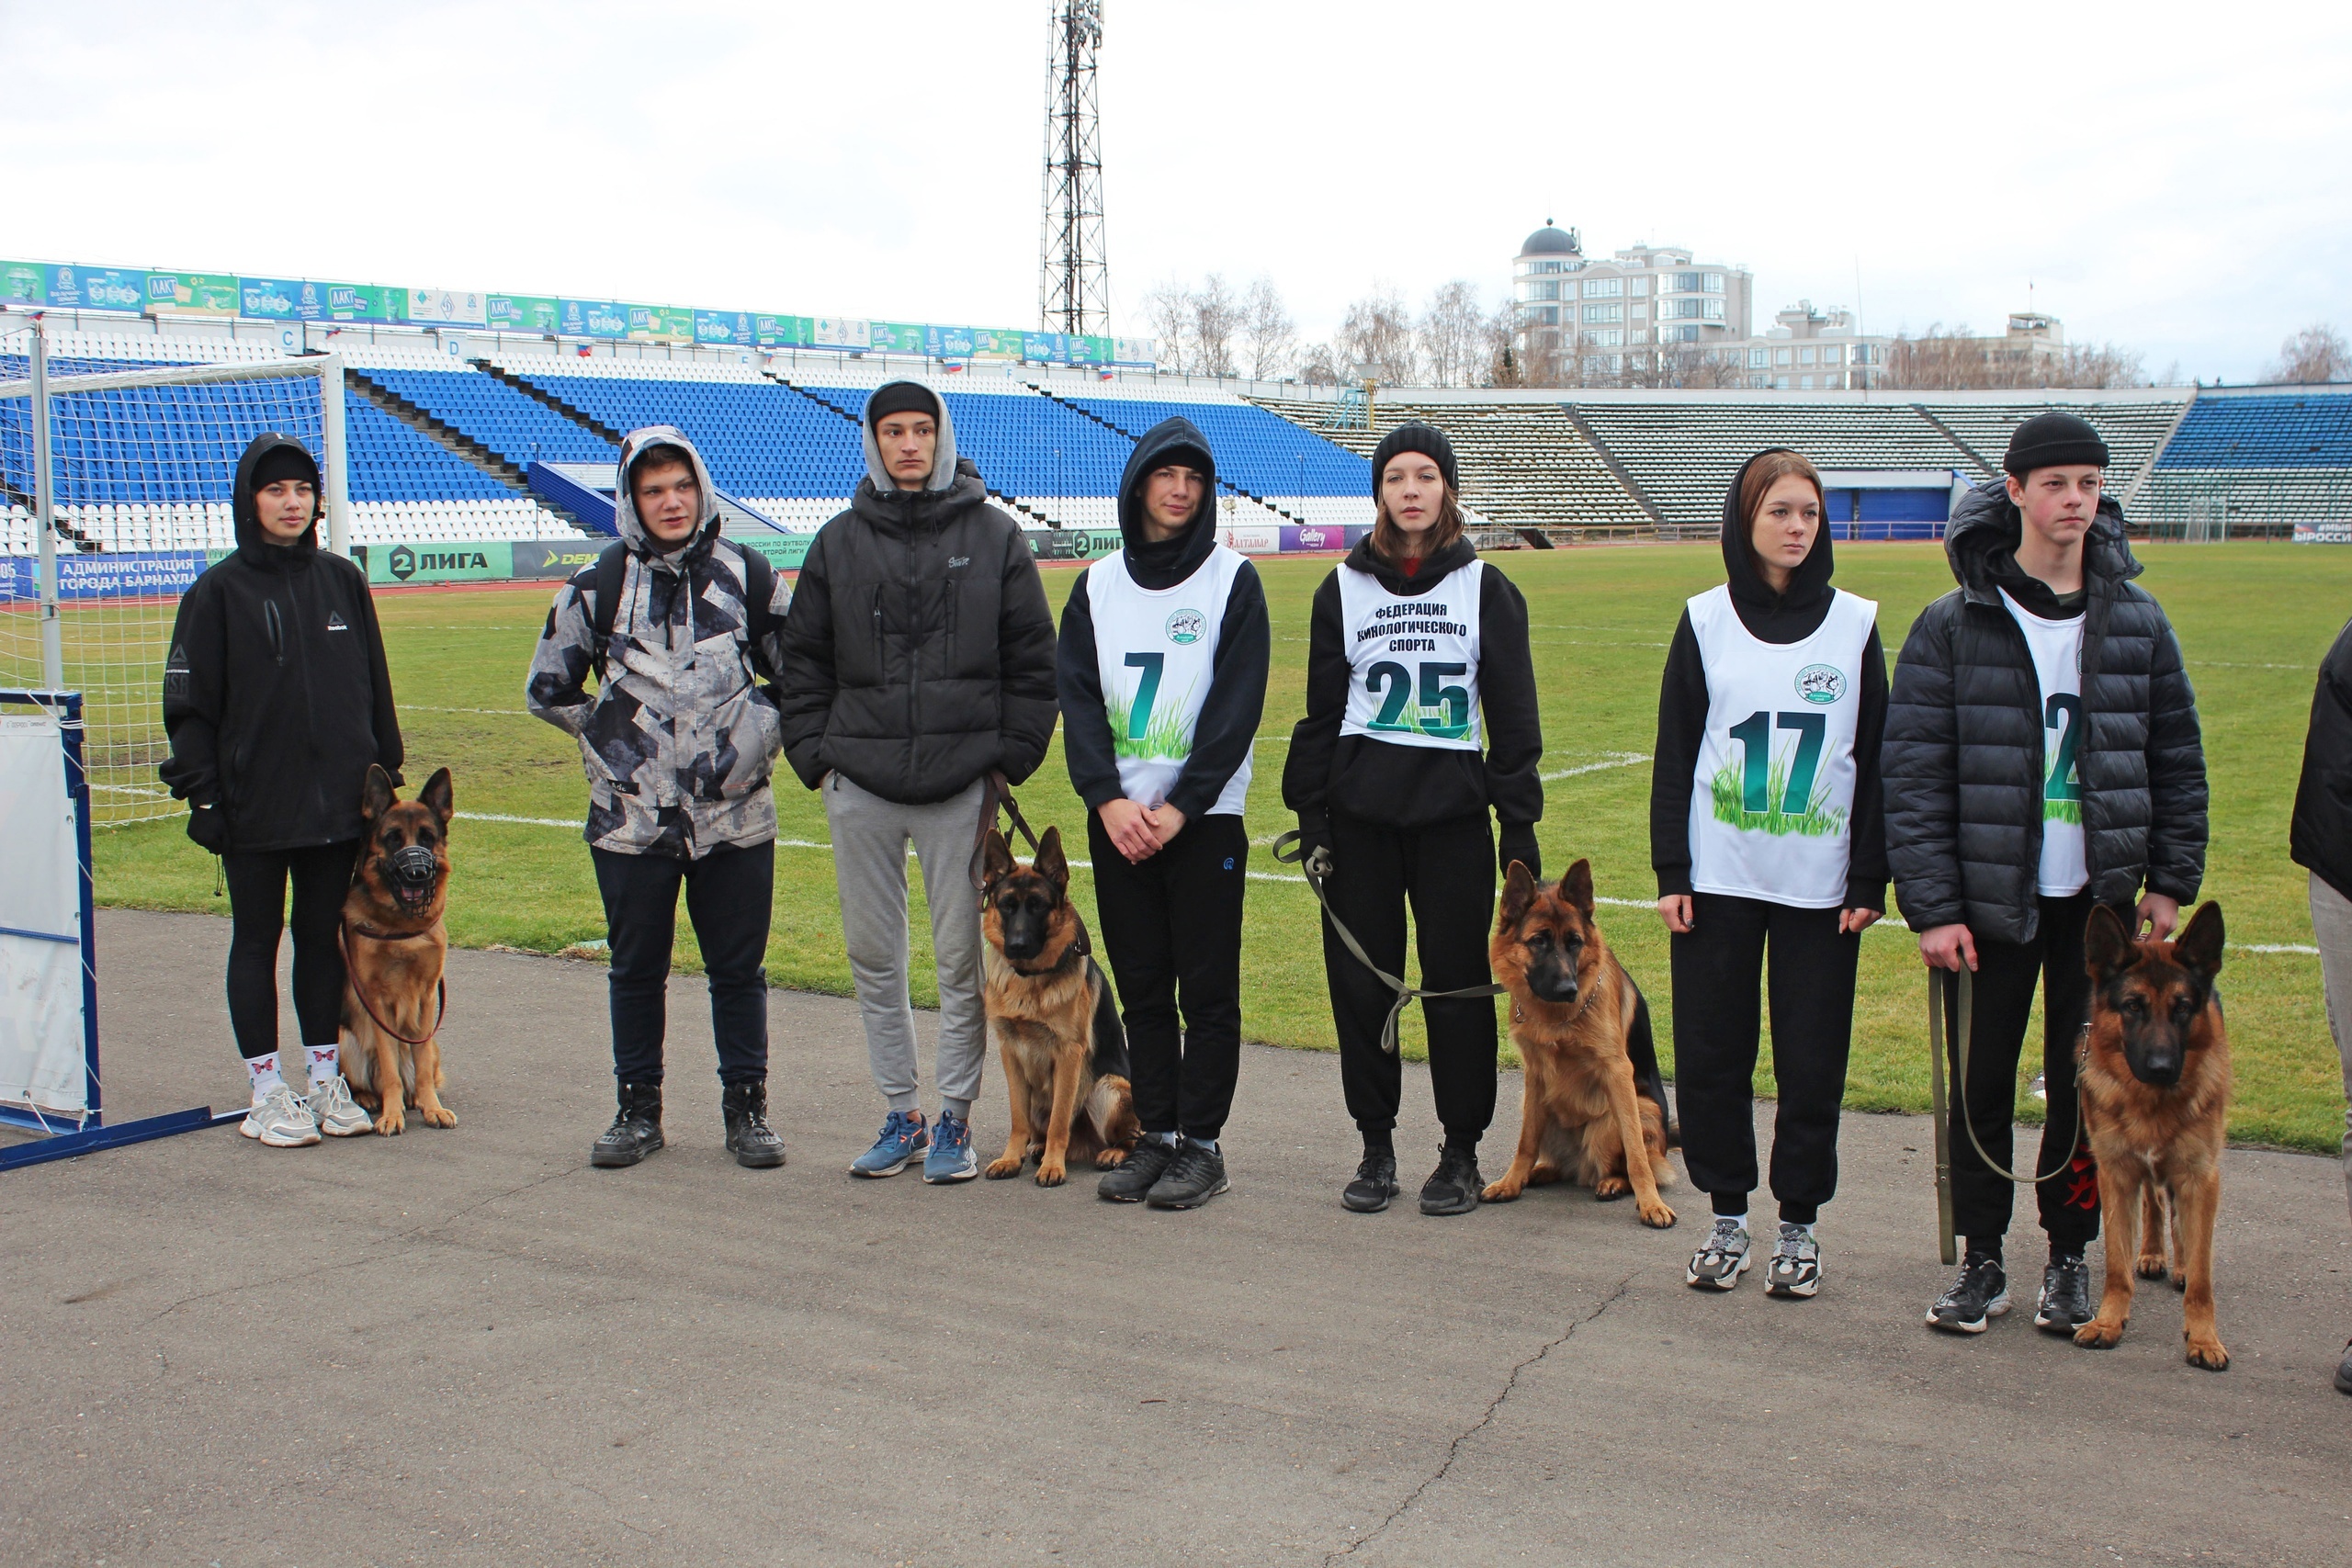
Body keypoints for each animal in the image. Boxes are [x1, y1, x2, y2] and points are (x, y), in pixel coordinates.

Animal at [341, 766, 454, 1133]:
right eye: (393, 838)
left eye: (427, 837)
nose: (417, 874)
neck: (402, 929)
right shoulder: (376, 1002)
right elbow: (389, 1064)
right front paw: (392, 1115)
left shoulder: (427, 998)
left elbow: (421, 1066)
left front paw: (432, 1107)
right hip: (346, 1041)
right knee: (364, 1080)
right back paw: (369, 1098)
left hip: (433, 1044)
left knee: (419, 1072)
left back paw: (416, 1097)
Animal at [973, 827, 1138, 1184]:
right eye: (1007, 906)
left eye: (1038, 906)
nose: (1018, 945)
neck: (1030, 981)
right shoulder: (1009, 1051)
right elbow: (1018, 1118)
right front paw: (1011, 1158)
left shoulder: (1068, 1055)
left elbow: (1060, 1121)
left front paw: (1052, 1166)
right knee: (1036, 1127)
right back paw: (1034, 1148)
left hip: (1107, 1088)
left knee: (1134, 1137)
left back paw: (1112, 1153)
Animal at [1486, 851, 1674, 1232]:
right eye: (1538, 941)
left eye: (1575, 942)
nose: (1568, 990)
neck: (1557, 1020)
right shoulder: (1534, 1074)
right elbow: (1526, 1142)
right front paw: (1512, 1181)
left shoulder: (1617, 1072)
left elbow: (1635, 1154)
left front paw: (1650, 1203)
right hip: (1537, 1103)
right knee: (1559, 1161)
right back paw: (1539, 1172)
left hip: (1631, 1113)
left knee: (1629, 1161)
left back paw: (1613, 1182)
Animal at [2088, 902, 2229, 1363]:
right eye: (2133, 1006)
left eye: (2182, 1008)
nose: (2161, 1068)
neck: (2151, 1103)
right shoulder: (2115, 1176)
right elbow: (2117, 1266)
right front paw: (2108, 1323)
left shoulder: (2201, 1178)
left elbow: (2202, 1276)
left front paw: (2204, 1338)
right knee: (2154, 1200)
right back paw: (2151, 1252)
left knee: (2179, 1219)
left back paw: (2178, 1263)